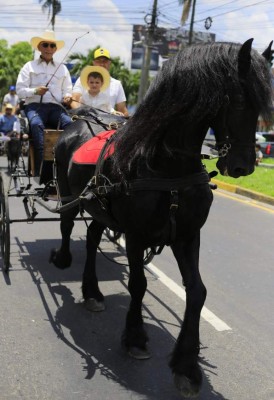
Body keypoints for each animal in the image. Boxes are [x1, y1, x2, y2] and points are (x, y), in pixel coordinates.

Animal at [50, 40, 272, 396]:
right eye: (239, 99)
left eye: (262, 103)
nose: (243, 166)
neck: (167, 166)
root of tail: (78, 122)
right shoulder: (135, 235)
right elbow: (138, 283)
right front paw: (136, 338)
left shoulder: (188, 235)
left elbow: (197, 291)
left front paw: (187, 366)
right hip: (70, 196)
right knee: (68, 224)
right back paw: (63, 259)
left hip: (101, 208)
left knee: (94, 236)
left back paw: (92, 292)